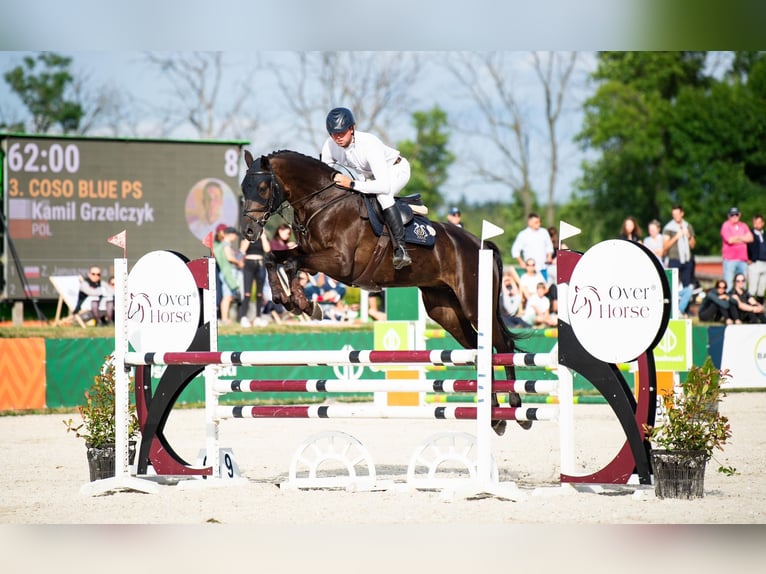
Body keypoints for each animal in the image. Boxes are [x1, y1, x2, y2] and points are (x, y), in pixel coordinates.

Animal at [240, 150, 528, 436]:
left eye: (263, 187)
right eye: (244, 188)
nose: (249, 231)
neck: (321, 204)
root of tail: (481, 243)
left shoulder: (340, 262)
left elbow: (290, 264)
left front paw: (302, 303)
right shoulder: (309, 256)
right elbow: (273, 258)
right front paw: (288, 300)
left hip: (474, 304)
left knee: (502, 345)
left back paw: (516, 408)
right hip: (444, 310)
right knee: (478, 349)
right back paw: (495, 415)